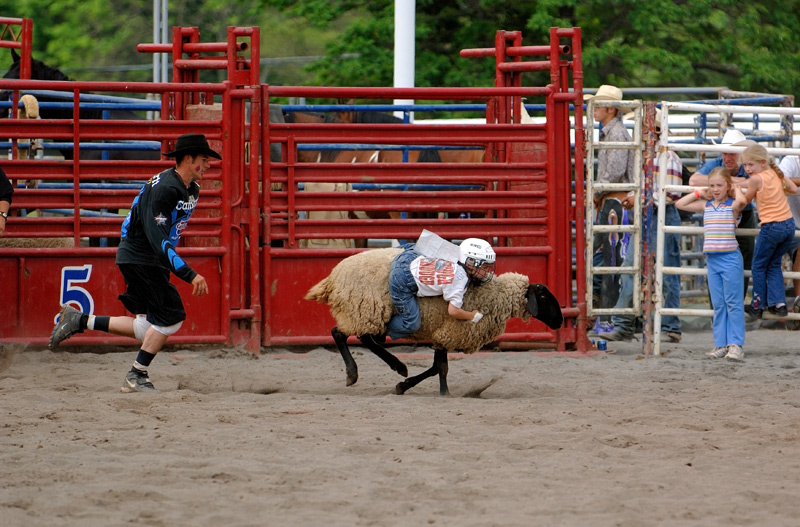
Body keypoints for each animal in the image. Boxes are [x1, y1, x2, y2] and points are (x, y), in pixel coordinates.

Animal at [306, 249, 564, 396]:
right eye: (543, 296)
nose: (561, 321)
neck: (493, 295)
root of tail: (333, 277)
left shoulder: (442, 334)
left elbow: (433, 368)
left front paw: (404, 386)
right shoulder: (448, 331)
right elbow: (441, 367)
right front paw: (445, 393)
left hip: (367, 313)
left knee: (363, 337)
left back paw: (393, 367)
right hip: (366, 309)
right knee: (341, 333)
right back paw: (361, 372)